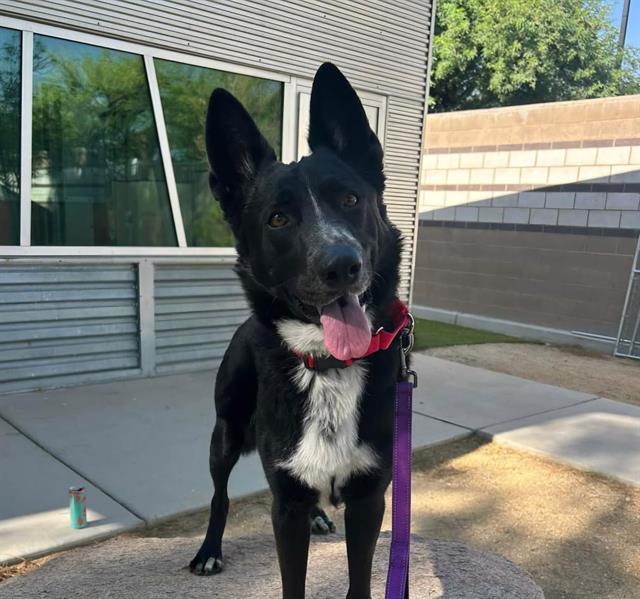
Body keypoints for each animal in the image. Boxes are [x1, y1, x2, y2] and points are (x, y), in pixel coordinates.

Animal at [188, 63, 404, 596]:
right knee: (219, 495)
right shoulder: (284, 505)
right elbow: (291, 581)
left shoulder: (371, 499)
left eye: (350, 198)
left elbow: (360, 580)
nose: (342, 265)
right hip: (225, 431)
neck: (327, 365)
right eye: (278, 219)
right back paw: (209, 551)